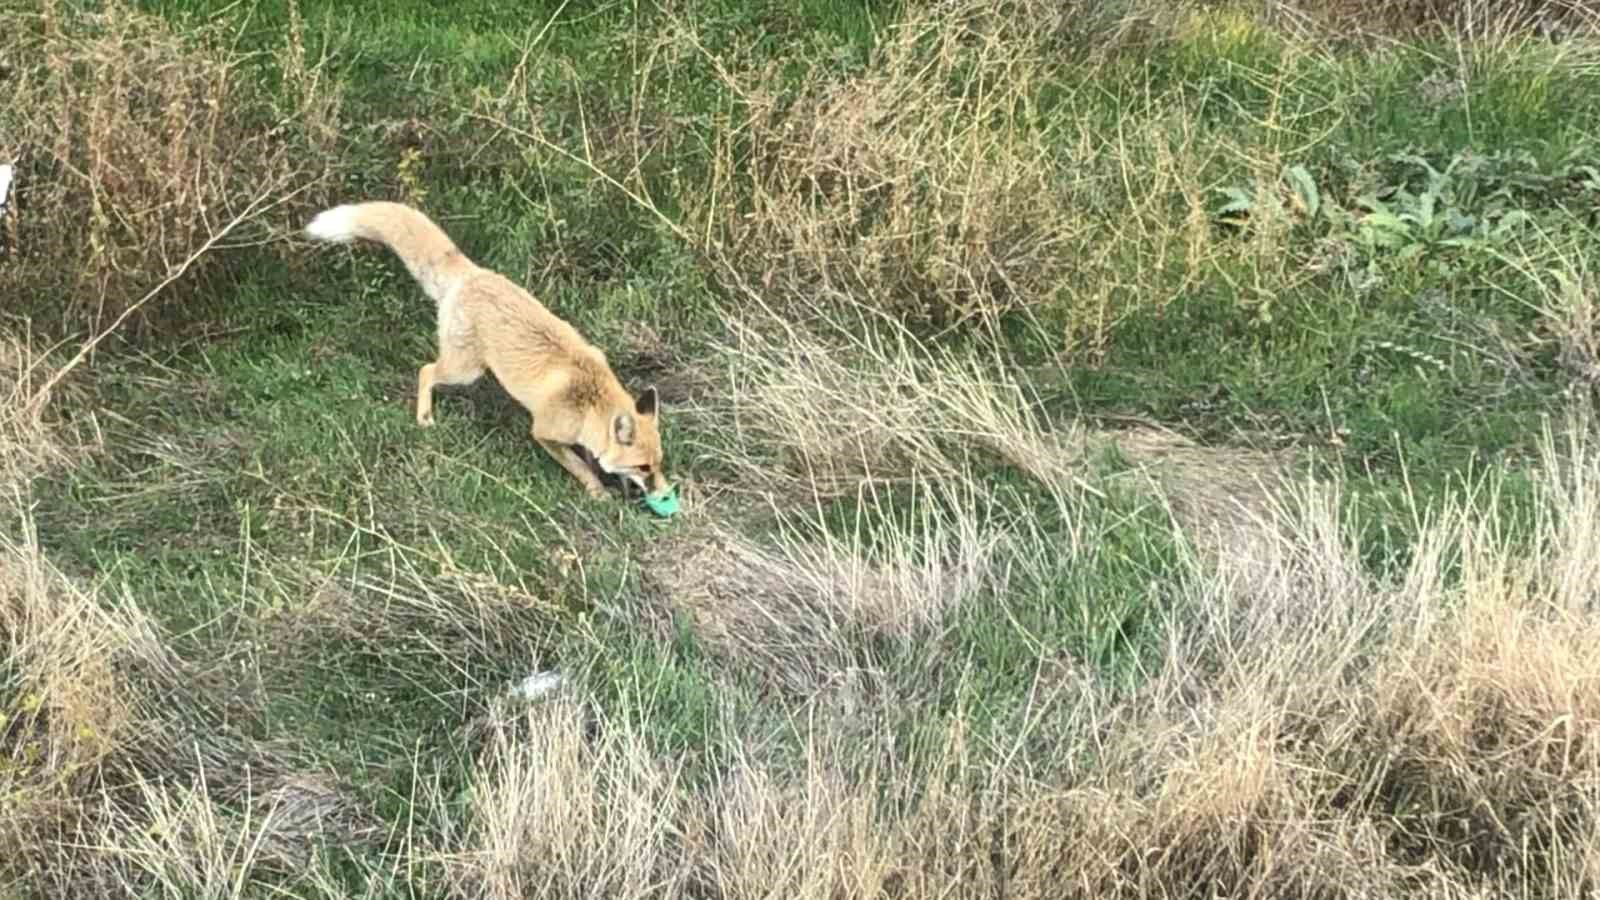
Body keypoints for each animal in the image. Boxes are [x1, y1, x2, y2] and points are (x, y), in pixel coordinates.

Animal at [302, 199, 665, 499]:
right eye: (643, 468)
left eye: (659, 463)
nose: (664, 495)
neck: (588, 400)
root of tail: (470, 273)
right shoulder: (543, 433)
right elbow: (578, 465)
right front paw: (596, 491)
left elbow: (591, 457)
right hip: (464, 370)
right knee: (426, 370)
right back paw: (425, 417)